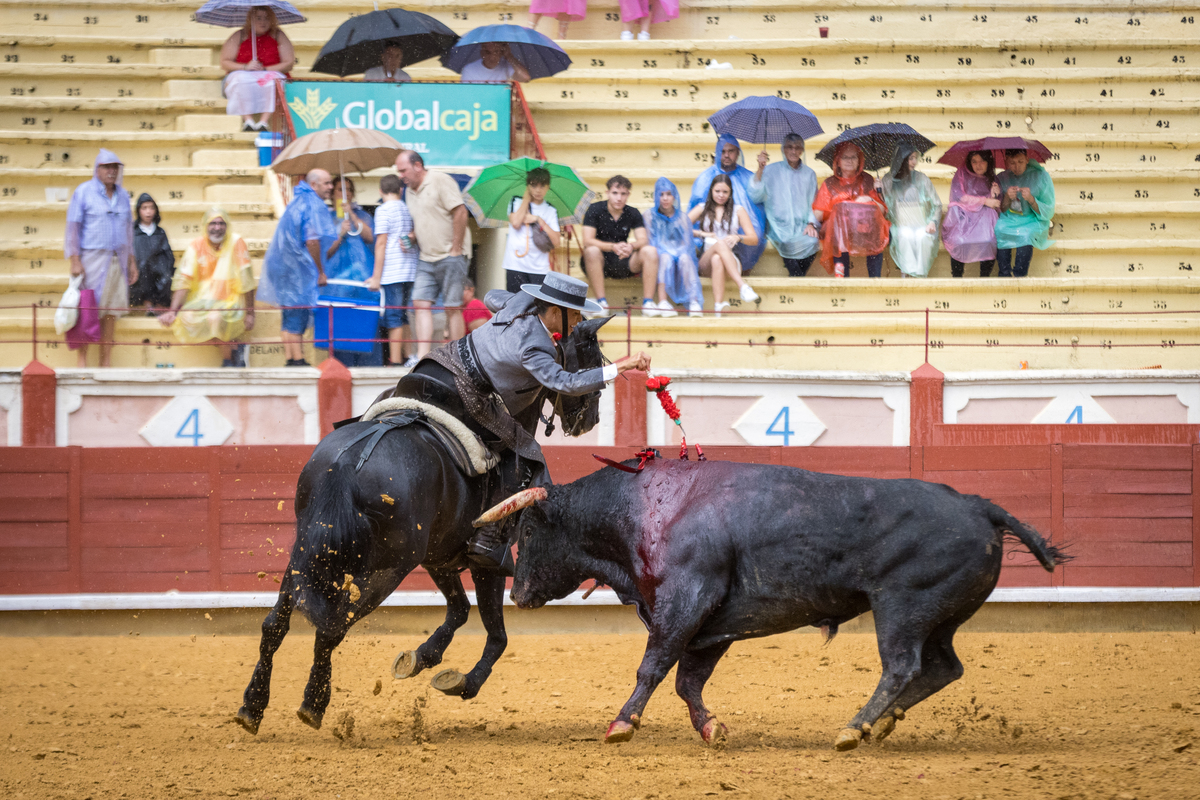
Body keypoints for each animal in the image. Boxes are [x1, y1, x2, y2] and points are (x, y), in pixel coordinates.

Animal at [236, 316, 609, 734]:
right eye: (590, 355)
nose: (591, 418)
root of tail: (347, 466)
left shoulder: (439, 558)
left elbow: (460, 610)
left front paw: (422, 658)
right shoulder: (487, 562)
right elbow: (496, 633)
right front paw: (463, 682)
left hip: (306, 557)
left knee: (275, 625)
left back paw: (252, 706)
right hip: (387, 569)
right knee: (331, 627)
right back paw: (313, 704)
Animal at [511, 455, 1065, 753]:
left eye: (530, 530)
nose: (515, 594)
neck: (642, 507)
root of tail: (979, 504)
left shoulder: (685, 602)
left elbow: (653, 667)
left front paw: (621, 725)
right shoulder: (711, 624)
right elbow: (688, 681)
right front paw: (712, 729)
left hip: (902, 608)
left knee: (903, 666)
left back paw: (853, 729)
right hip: (942, 616)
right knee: (944, 666)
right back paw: (880, 724)